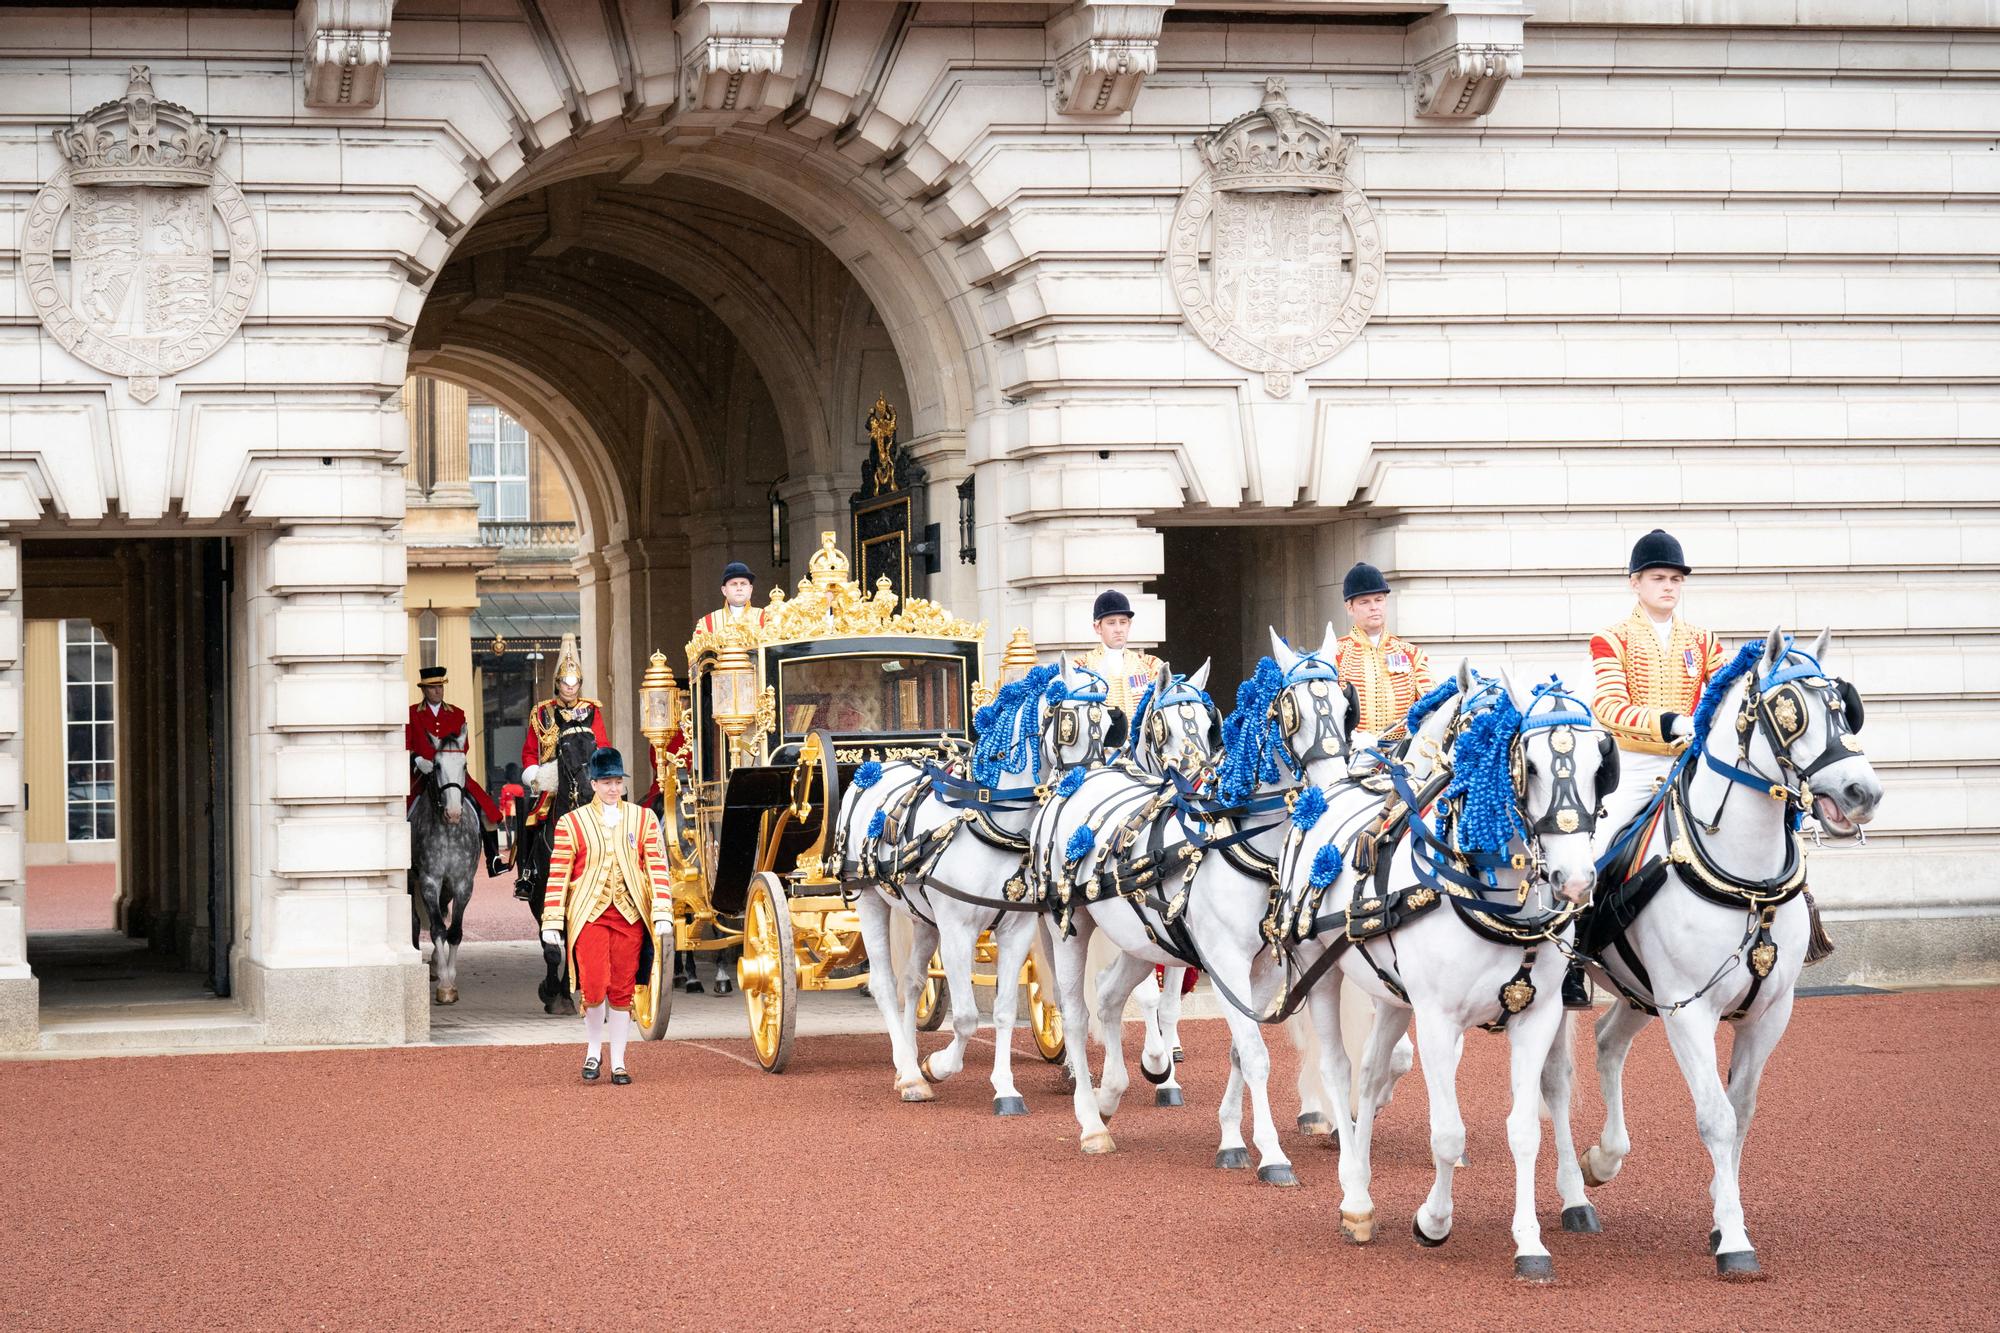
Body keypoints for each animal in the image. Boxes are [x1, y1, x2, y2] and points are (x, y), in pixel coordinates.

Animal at [512, 720, 596, 1012]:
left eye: (594, 744)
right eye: (565, 748)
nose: (589, 790)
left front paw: (565, 991)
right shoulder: (542, 900)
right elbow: (551, 949)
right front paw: (550, 992)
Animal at [1288, 660, 1616, 1272]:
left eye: (1598, 765)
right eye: (1529, 764)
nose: (1576, 879)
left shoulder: (1537, 1016)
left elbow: (1524, 1129)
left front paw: (1529, 1241)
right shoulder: (1437, 1019)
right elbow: (1447, 1134)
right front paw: (1434, 1221)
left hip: (1391, 995)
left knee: (1371, 1075)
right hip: (1322, 975)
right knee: (1340, 1070)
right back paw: (1355, 1194)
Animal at [1568, 624, 1880, 1280]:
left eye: (1845, 707)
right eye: (1789, 710)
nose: (1863, 791)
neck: (1748, 882)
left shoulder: (1767, 1014)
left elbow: (1741, 1115)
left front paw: (1722, 1213)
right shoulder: (1689, 1012)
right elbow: (1715, 1116)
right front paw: (1735, 1240)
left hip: (1641, 994)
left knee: (1607, 1044)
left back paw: (1603, 1160)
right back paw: (1574, 1197)